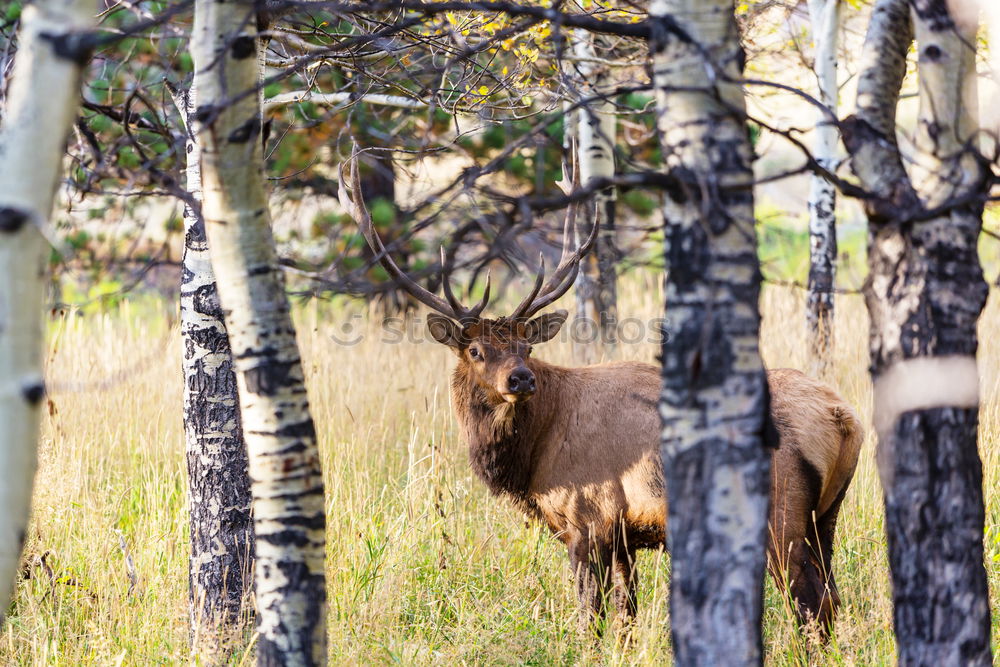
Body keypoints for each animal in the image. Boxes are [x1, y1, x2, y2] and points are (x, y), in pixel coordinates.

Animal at [340, 158, 864, 636]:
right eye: (476, 349)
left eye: (527, 347)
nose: (521, 380)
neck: (532, 459)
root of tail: (843, 417)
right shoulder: (623, 535)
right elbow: (625, 616)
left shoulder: (586, 520)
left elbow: (590, 618)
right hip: (826, 516)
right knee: (834, 598)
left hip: (781, 516)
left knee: (810, 605)